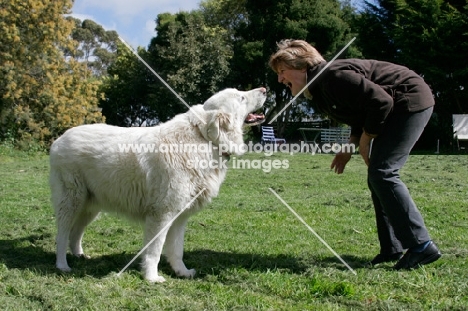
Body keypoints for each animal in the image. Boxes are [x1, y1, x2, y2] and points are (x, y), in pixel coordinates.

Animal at [50, 87, 266, 282]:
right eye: (241, 97)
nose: (264, 89)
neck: (204, 139)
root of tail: (58, 140)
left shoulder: (179, 217)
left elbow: (177, 250)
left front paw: (182, 272)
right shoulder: (162, 214)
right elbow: (154, 251)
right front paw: (151, 278)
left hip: (91, 207)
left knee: (75, 233)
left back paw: (80, 256)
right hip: (71, 202)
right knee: (62, 235)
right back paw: (62, 265)